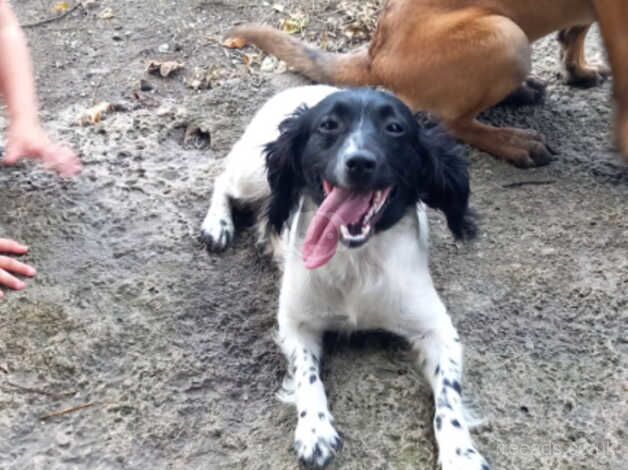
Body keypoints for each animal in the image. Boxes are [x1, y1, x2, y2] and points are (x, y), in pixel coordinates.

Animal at [201, 86, 490, 468]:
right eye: (328, 125)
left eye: (395, 128)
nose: (360, 162)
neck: (356, 262)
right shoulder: (295, 323)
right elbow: (308, 376)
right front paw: (315, 430)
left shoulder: (438, 330)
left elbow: (448, 400)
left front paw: (460, 451)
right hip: (251, 174)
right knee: (223, 180)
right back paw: (217, 225)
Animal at [226, 0, 628, 169]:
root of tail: (375, 53)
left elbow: (577, 31)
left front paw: (577, 70)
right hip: (507, 37)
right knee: (452, 123)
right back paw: (513, 142)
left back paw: (523, 92)